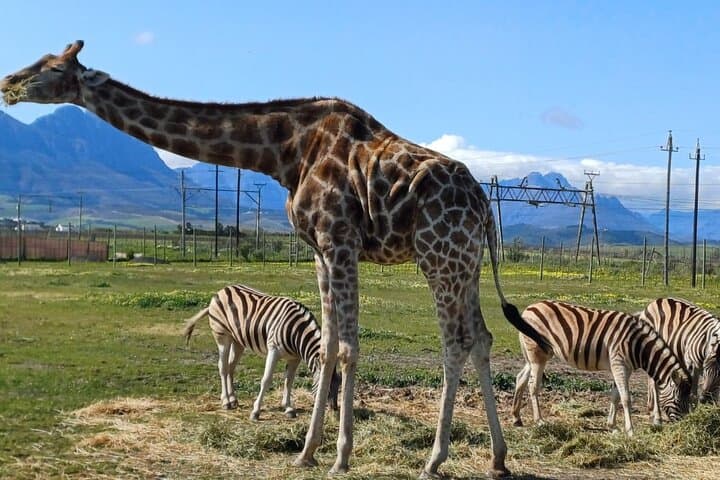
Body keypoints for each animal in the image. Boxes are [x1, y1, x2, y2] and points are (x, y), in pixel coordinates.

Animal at [1, 41, 551, 478]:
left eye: (52, 67)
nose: (8, 83)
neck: (283, 152)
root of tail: (484, 205)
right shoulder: (319, 251)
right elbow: (327, 345)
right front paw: (307, 451)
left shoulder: (339, 238)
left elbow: (347, 347)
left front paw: (340, 456)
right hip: (465, 262)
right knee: (481, 337)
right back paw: (498, 458)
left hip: (439, 256)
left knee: (456, 342)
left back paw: (435, 459)